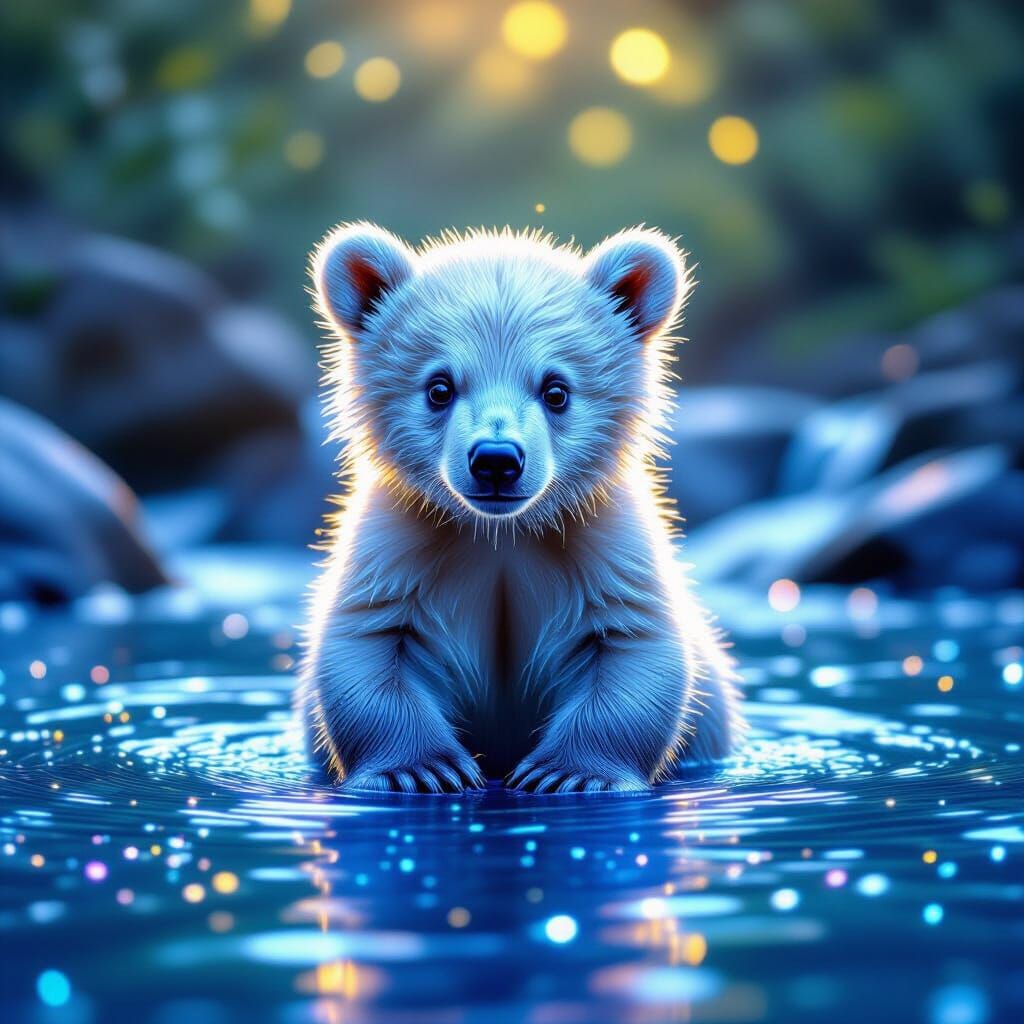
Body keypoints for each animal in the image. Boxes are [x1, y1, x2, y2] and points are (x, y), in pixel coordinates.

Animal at [298, 222, 742, 794]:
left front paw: (568, 773)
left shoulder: (600, 540)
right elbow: (369, 639)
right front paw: (421, 769)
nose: (496, 460)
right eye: (439, 387)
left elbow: (634, 642)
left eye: (556, 390)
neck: (501, 533)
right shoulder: (404, 540)